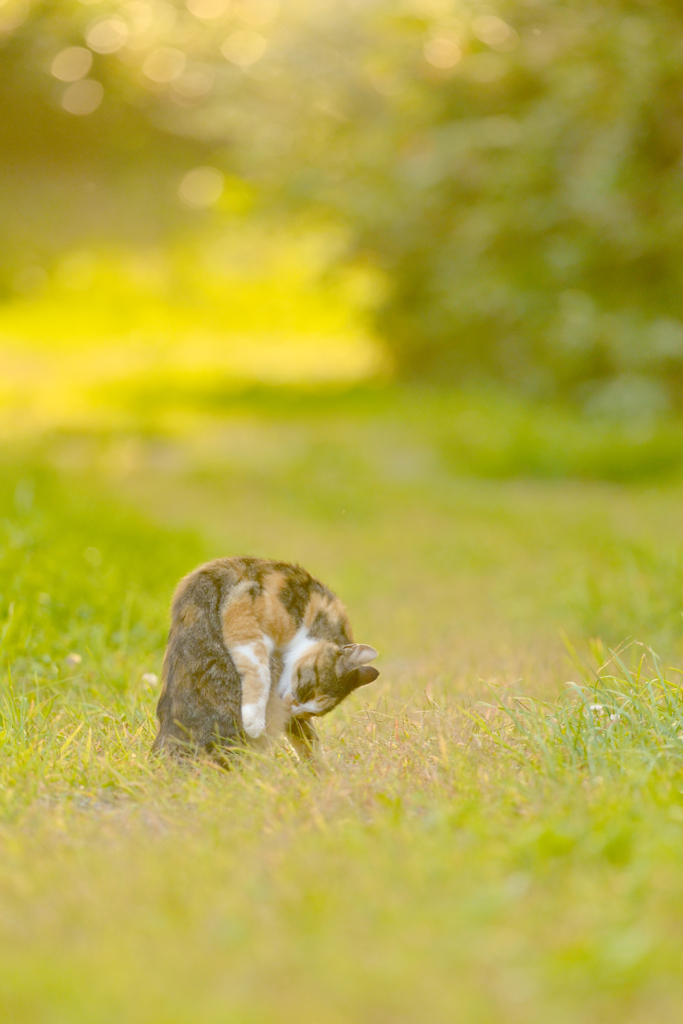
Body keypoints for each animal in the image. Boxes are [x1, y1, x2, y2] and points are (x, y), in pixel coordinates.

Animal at [150, 557, 378, 765]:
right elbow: (257, 669)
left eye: (309, 711)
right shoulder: (243, 603)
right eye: (307, 690)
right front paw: (254, 720)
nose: (290, 709)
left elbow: (307, 738)